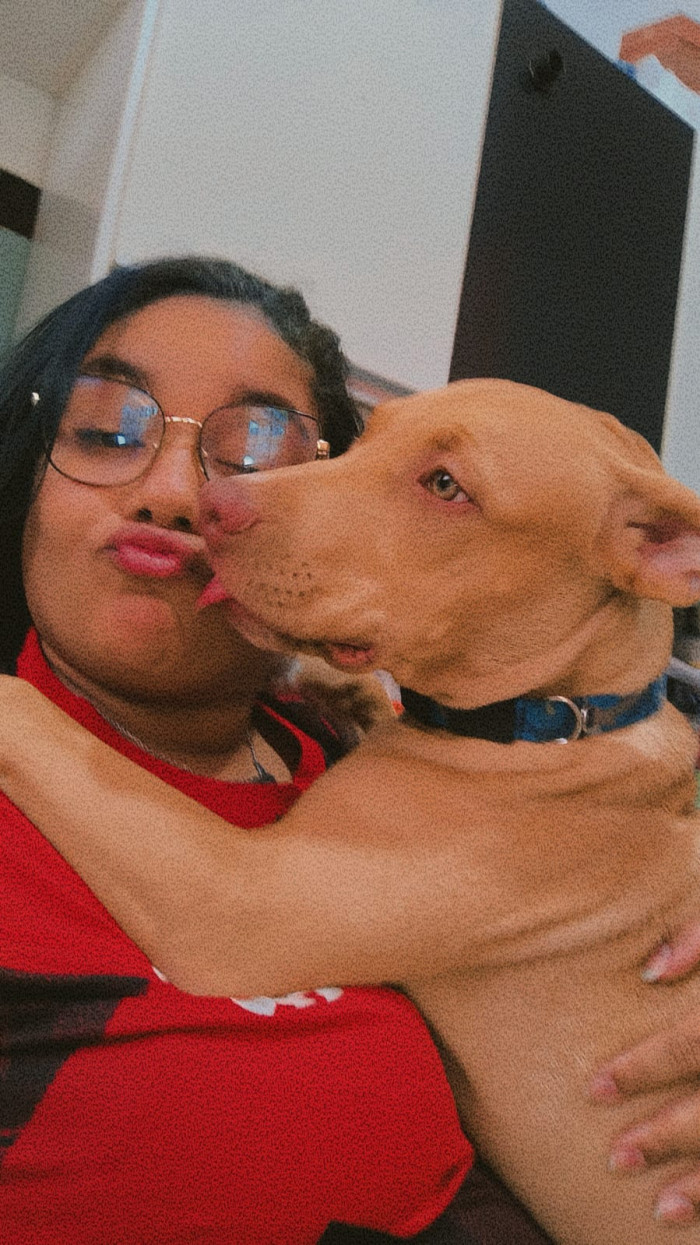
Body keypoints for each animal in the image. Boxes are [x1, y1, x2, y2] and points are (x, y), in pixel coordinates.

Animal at [194, 378, 700, 1244]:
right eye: (369, 434)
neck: (554, 719)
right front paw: (335, 688)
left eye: (446, 486)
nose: (212, 501)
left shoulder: (237, 897)